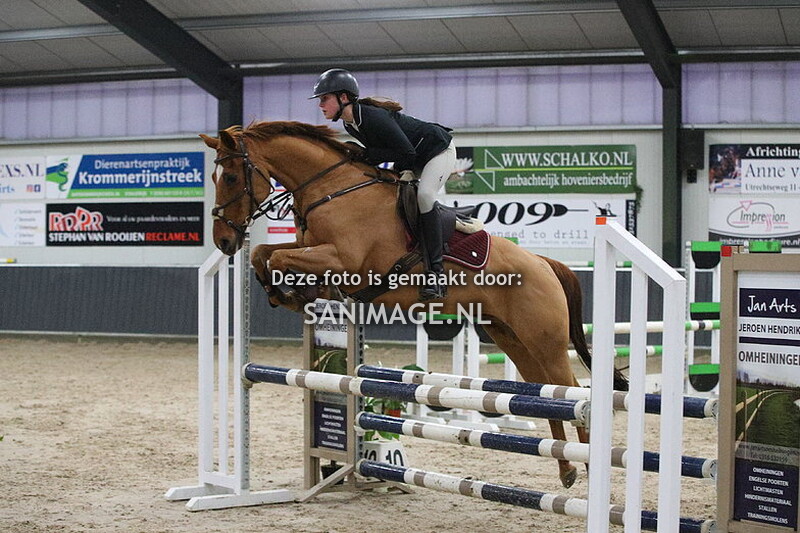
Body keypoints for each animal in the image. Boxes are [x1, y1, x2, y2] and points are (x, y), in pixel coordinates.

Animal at [201, 121, 628, 489]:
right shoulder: (312, 249)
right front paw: (288, 293)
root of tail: (544, 263)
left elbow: (276, 258)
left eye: (233, 177)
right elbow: (265, 254)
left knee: (570, 390)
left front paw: (290, 292)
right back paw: (565, 469)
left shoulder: (342, 259)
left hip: (545, 340)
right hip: (511, 338)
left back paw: (587, 464)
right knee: (546, 395)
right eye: (214, 178)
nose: (223, 240)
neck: (333, 188)